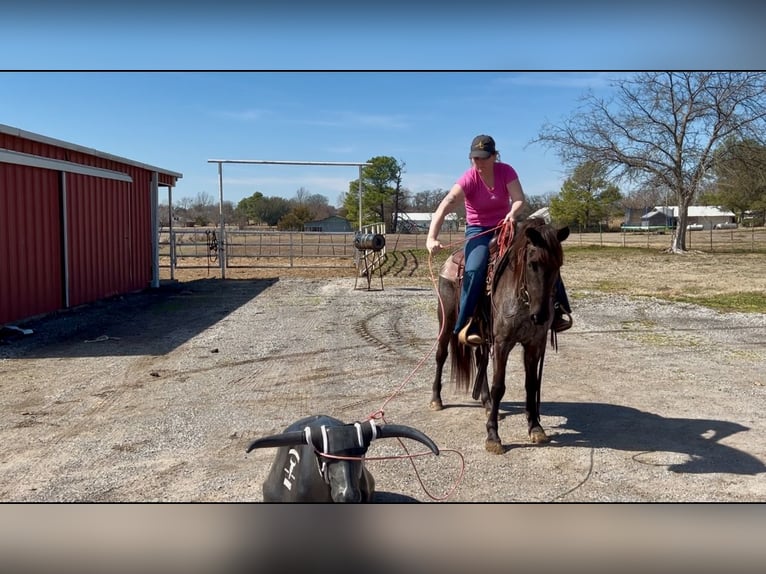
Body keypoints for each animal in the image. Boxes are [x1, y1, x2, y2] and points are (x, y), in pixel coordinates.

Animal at [432, 218, 568, 456]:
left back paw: (486, 404)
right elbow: (499, 386)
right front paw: (493, 436)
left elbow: (531, 384)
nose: (541, 316)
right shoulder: (503, 342)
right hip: (446, 320)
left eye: (558, 264)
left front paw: (535, 427)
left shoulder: (534, 343)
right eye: (533, 263)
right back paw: (436, 399)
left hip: (482, 333)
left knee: (480, 360)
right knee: (441, 354)